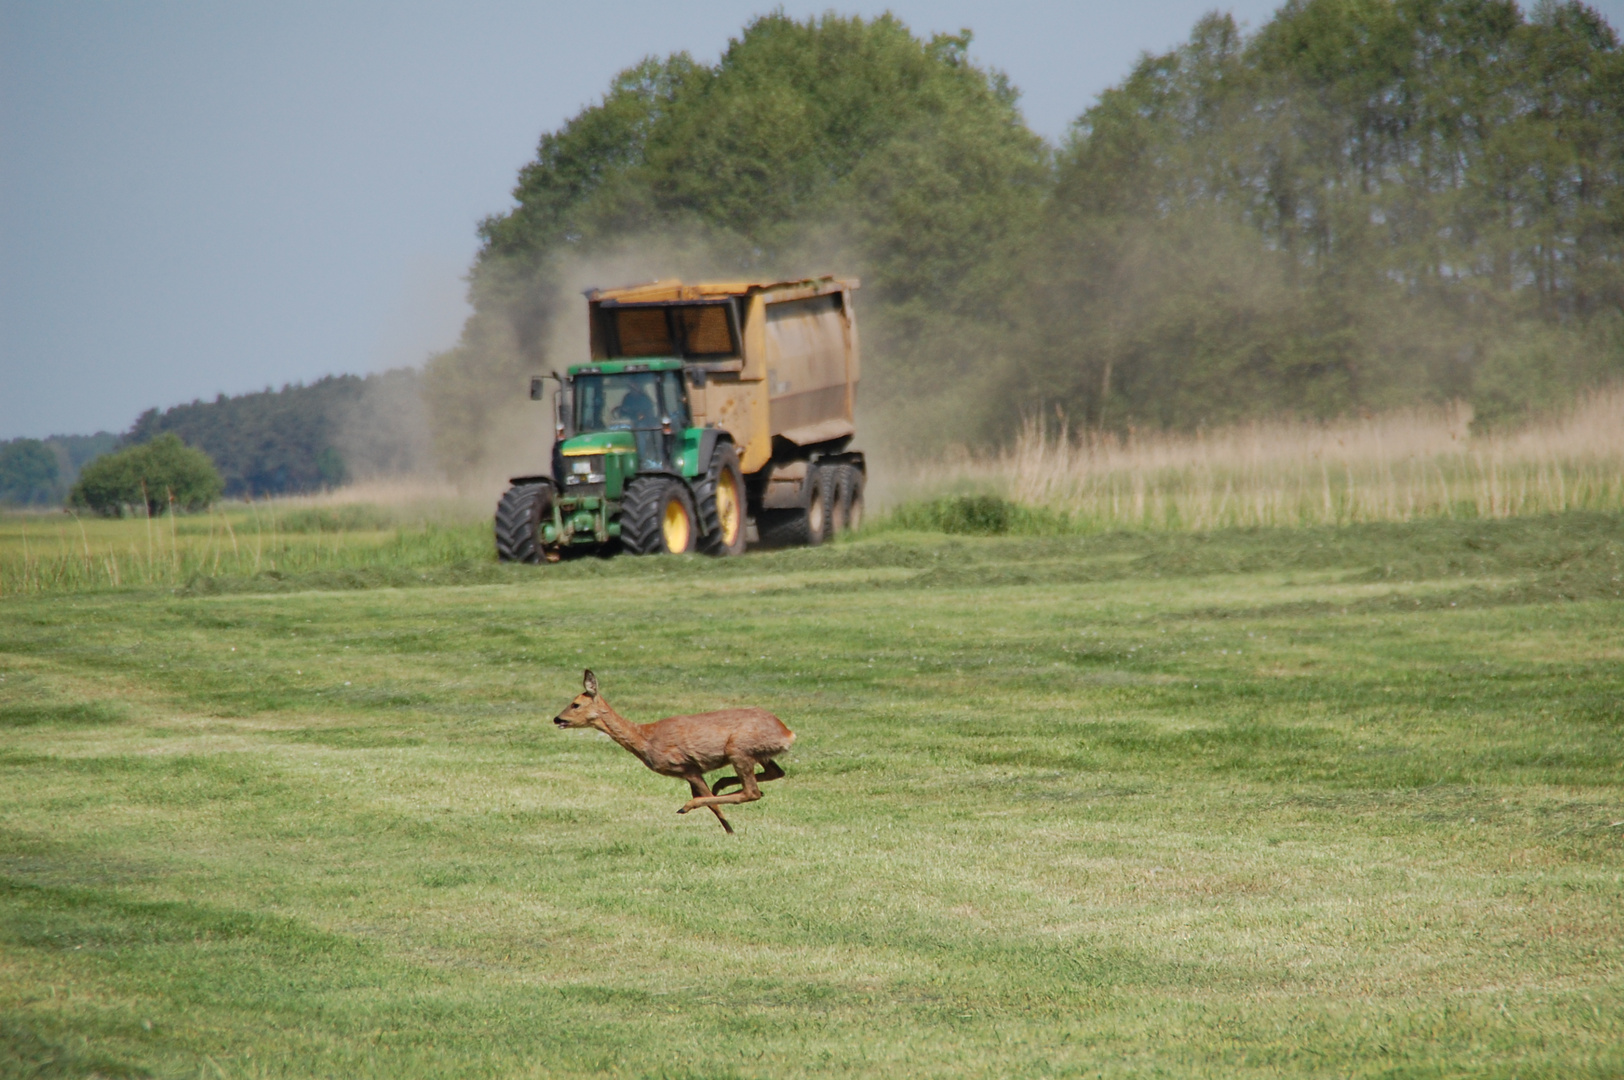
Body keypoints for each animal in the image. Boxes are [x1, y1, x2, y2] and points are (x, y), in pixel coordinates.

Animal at [552, 665, 792, 831]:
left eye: (575, 704)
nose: (557, 719)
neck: (645, 739)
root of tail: (787, 733)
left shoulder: (687, 766)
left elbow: (712, 805)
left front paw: (730, 831)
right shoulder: (688, 773)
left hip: (739, 749)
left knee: (752, 791)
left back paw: (691, 804)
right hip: (757, 754)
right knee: (775, 773)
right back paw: (721, 784)